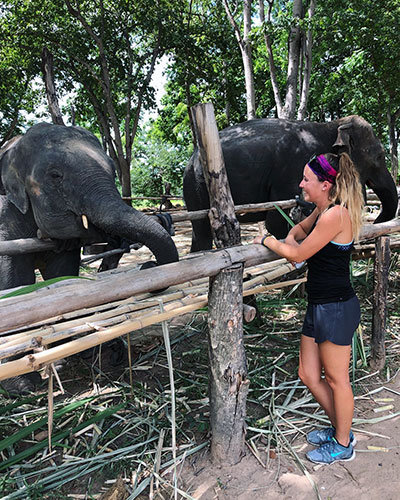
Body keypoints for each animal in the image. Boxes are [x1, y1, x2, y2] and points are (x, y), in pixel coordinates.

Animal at [184, 115, 396, 252]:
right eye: (380, 156)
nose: (375, 226)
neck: (330, 126)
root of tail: (191, 158)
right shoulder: (294, 169)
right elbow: (277, 221)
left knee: (199, 232)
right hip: (196, 185)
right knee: (202, 232)